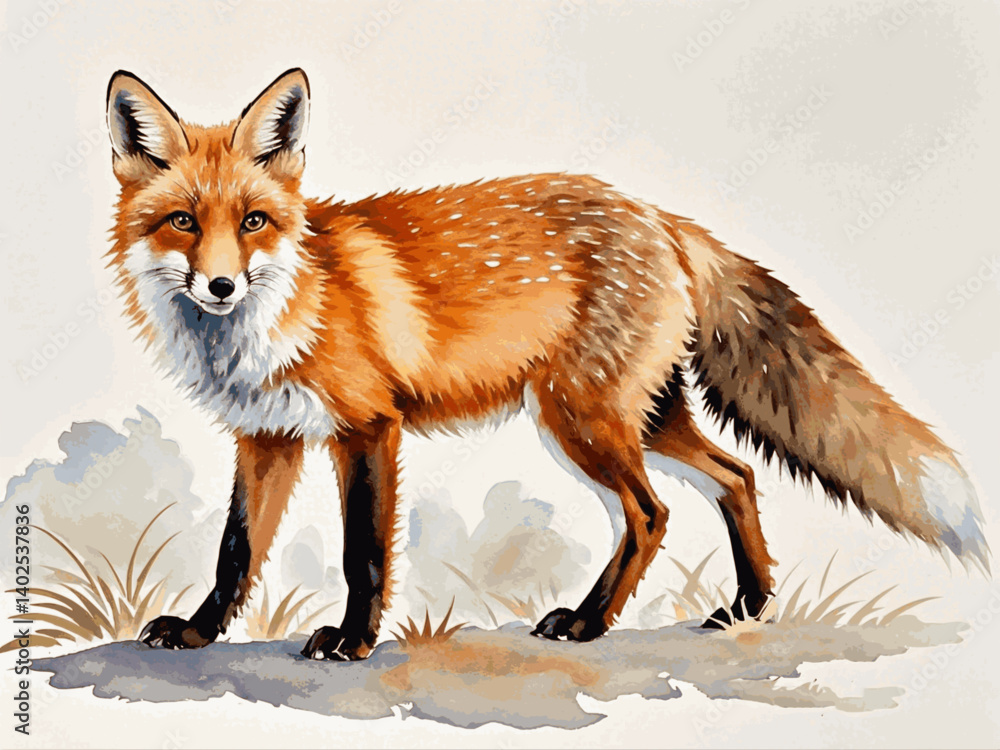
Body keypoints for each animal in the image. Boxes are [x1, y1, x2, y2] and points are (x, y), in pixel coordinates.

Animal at [105, 68, 988, 661]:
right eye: (183, 222)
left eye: (253, 221)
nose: (220, 285)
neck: (285, 310)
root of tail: (659, 214)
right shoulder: (268, 438)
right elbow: (235, 550)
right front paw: (199, 630)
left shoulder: (368, 427)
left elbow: (364, 554)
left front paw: (352, 641)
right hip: (640, 417)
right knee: (736, 476)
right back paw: (746, 606)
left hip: (582, 420)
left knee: (651, 514)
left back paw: (591, 623)